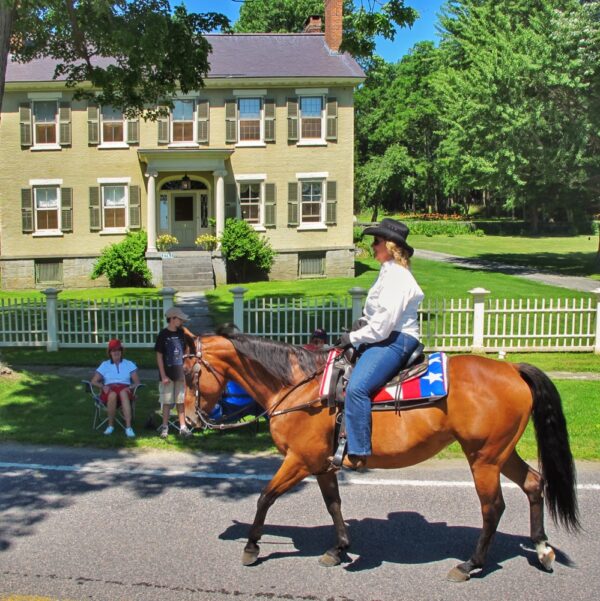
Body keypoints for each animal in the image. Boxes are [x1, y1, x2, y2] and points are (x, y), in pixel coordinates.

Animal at [182, 328, 576, 580]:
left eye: (187, 373)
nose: (186, 421)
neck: (298, 387)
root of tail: (512, 368)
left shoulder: (300, 460)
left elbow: (265, 497)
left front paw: (251, 546)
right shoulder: (322, 465)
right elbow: (334, 505)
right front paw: (339, 548)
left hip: (483, 458)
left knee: (492, 507)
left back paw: (470, 564)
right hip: (500, 453)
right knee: (533, 483)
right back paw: (542, 550)